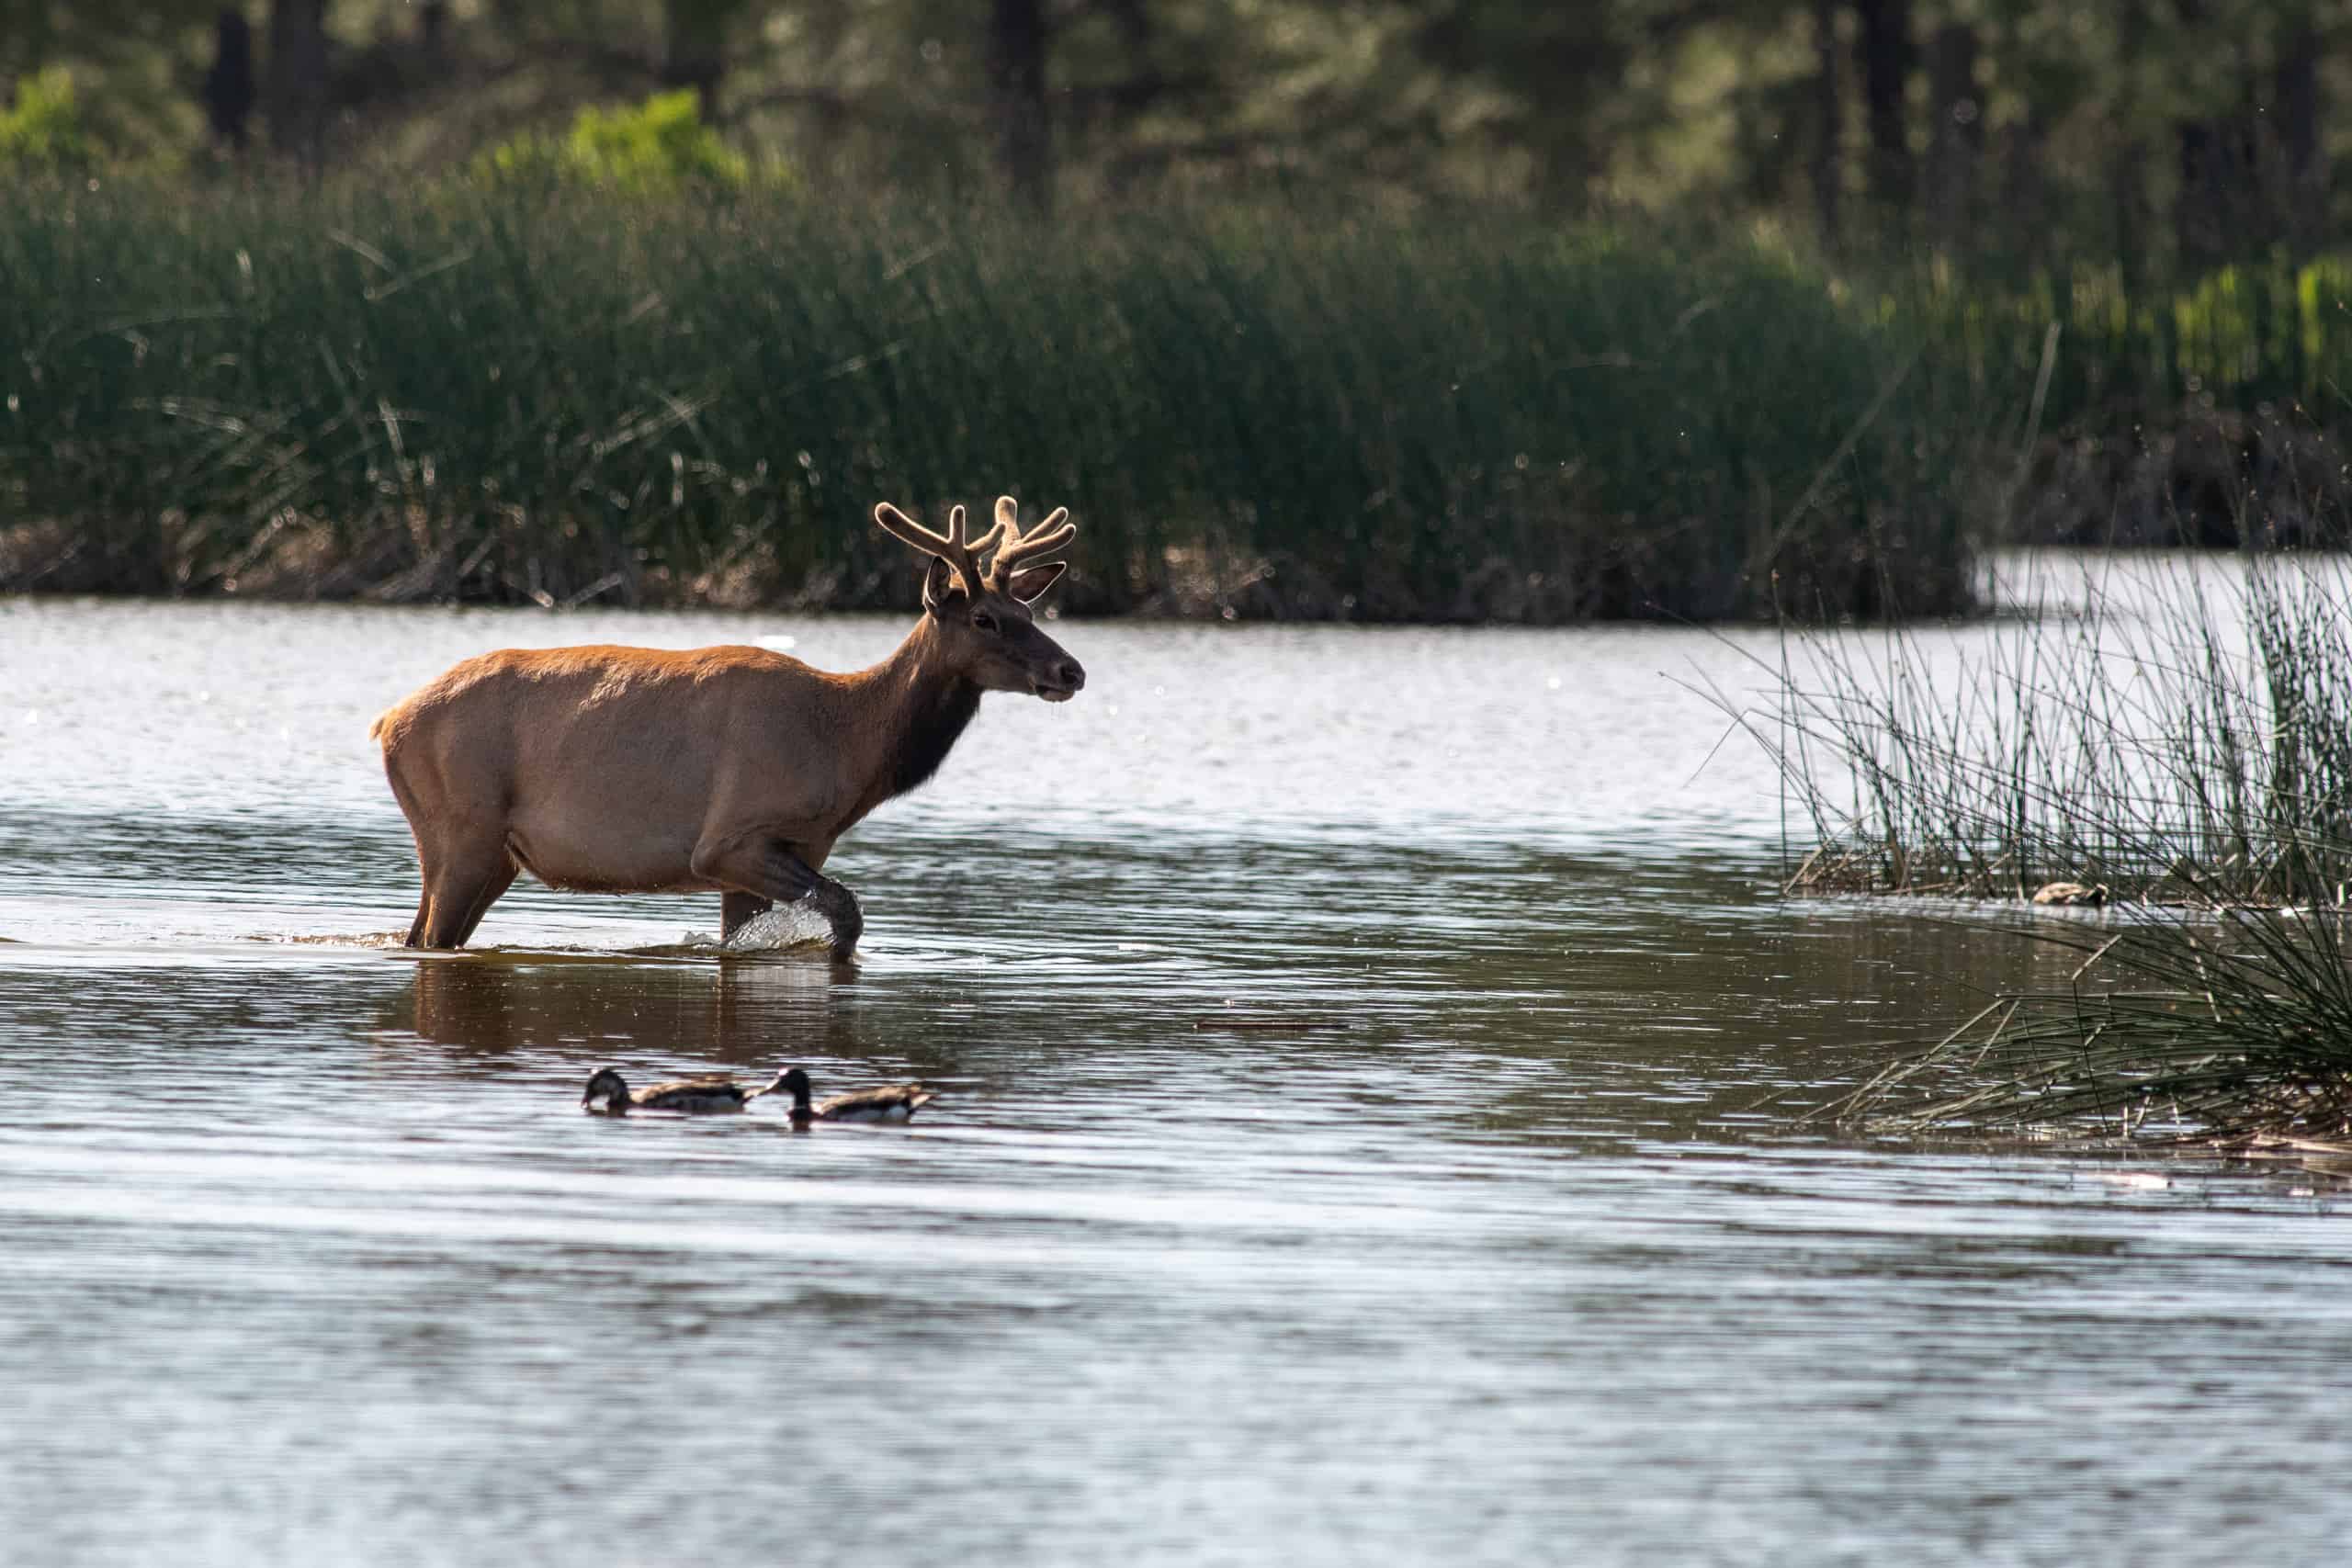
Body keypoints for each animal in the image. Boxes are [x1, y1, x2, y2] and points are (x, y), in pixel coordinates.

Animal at [369, 495, 1085, 958]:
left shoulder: (795, 848)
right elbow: (847, 913)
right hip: (463, 826)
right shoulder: (729, 836)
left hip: (486, 850)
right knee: (429, 937)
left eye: (1030, 609)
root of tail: (388, 721)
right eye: (985, 619)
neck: (849, 743)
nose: (1071, 669)